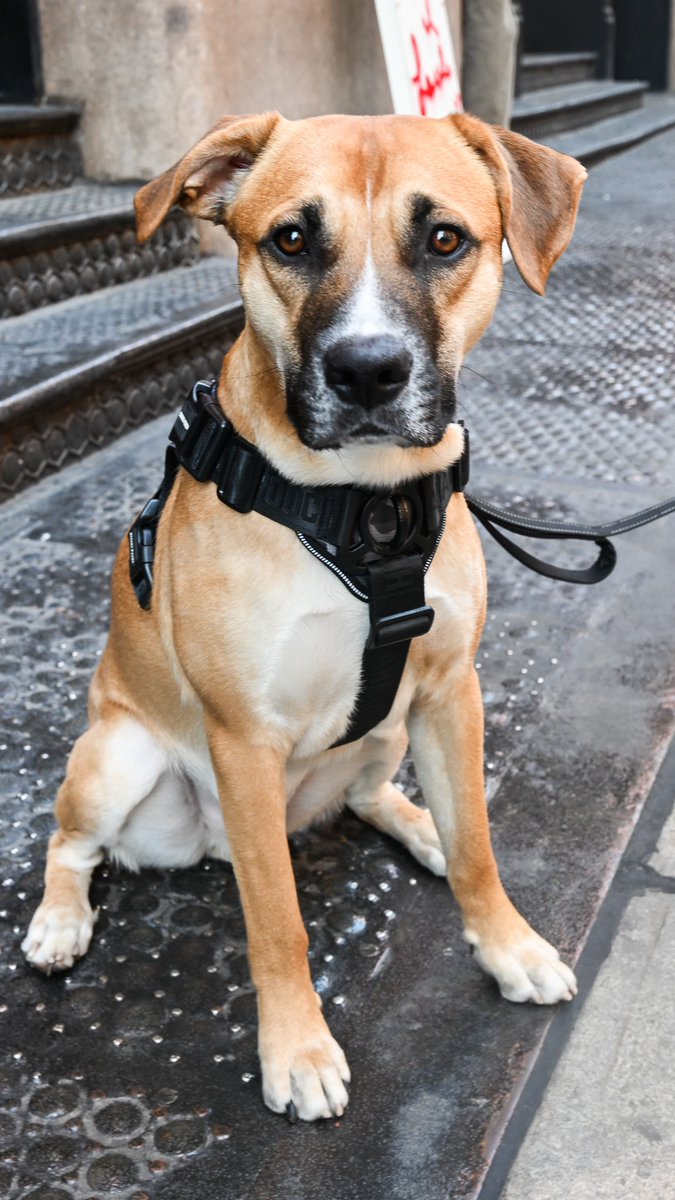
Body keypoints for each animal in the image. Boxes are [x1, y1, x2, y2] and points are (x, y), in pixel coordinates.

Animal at [22, 108, 583, 1118]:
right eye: (290, 240)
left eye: (445, 239)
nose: (367, 372)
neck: (367, 508)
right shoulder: (244, 738)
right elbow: (276, 920)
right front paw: (297, 1049)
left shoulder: (451, 691)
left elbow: (479, 845)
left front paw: (507, 943)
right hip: (117, 758)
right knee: (70, 842)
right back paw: (57, 920)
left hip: (389, 728)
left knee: (370, 795)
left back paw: (419, 824)